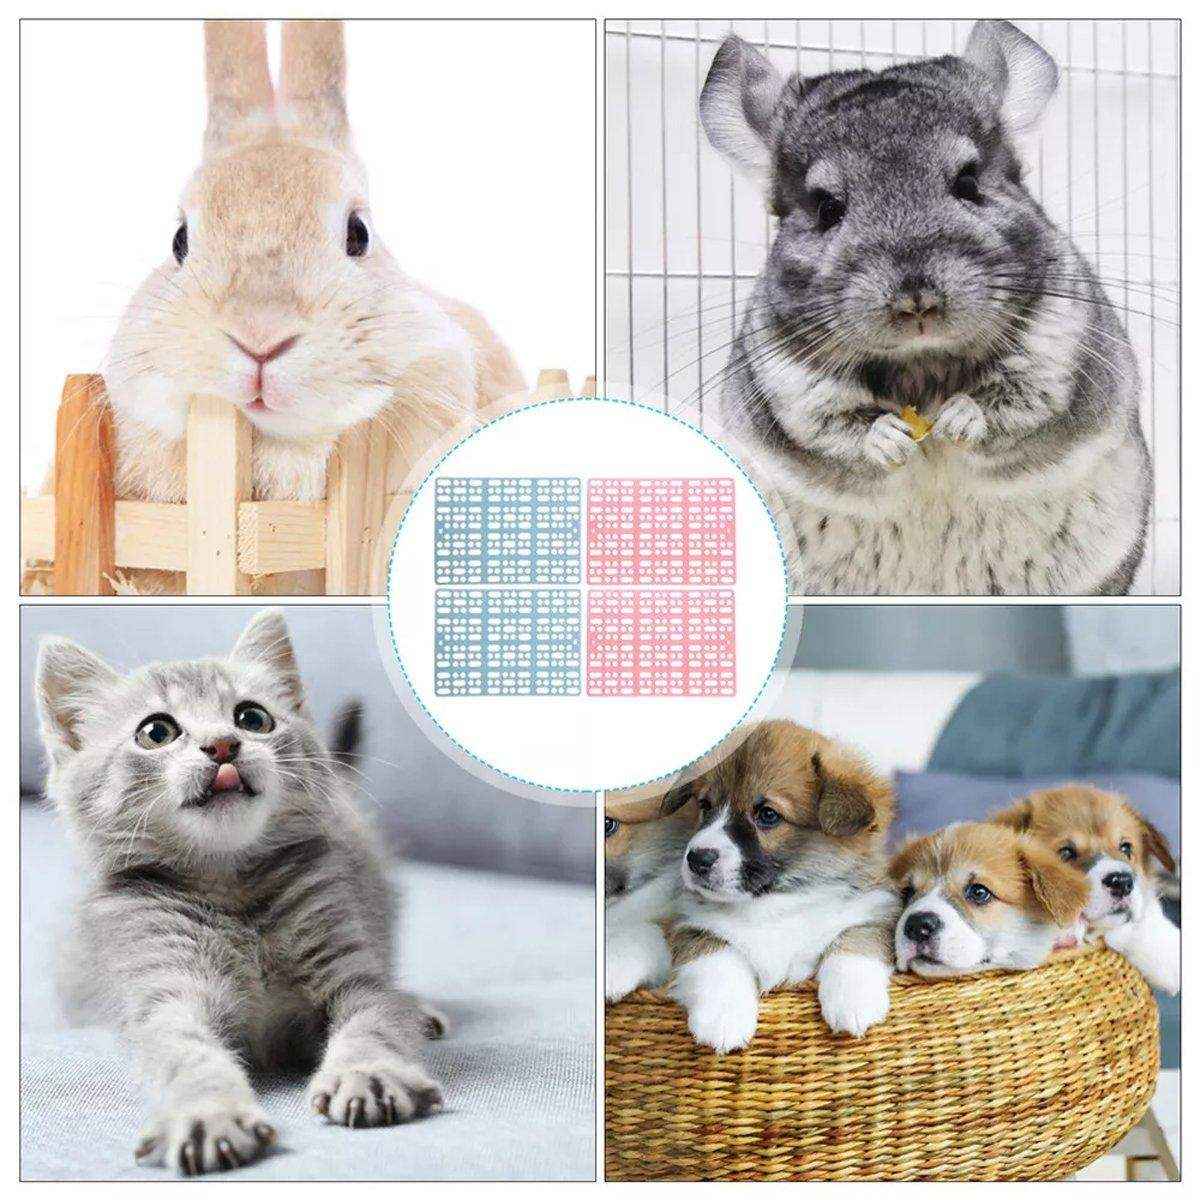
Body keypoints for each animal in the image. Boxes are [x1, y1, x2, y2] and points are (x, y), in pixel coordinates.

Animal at [699, 19, 1151, 596]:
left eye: (968, 181)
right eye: (826, 207)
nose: (916, 301)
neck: (923, 363)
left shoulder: (1058, 354)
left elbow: (1016, 404)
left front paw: (959, 418)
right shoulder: (790, 386)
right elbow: (834, 428)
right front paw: (890, 438)